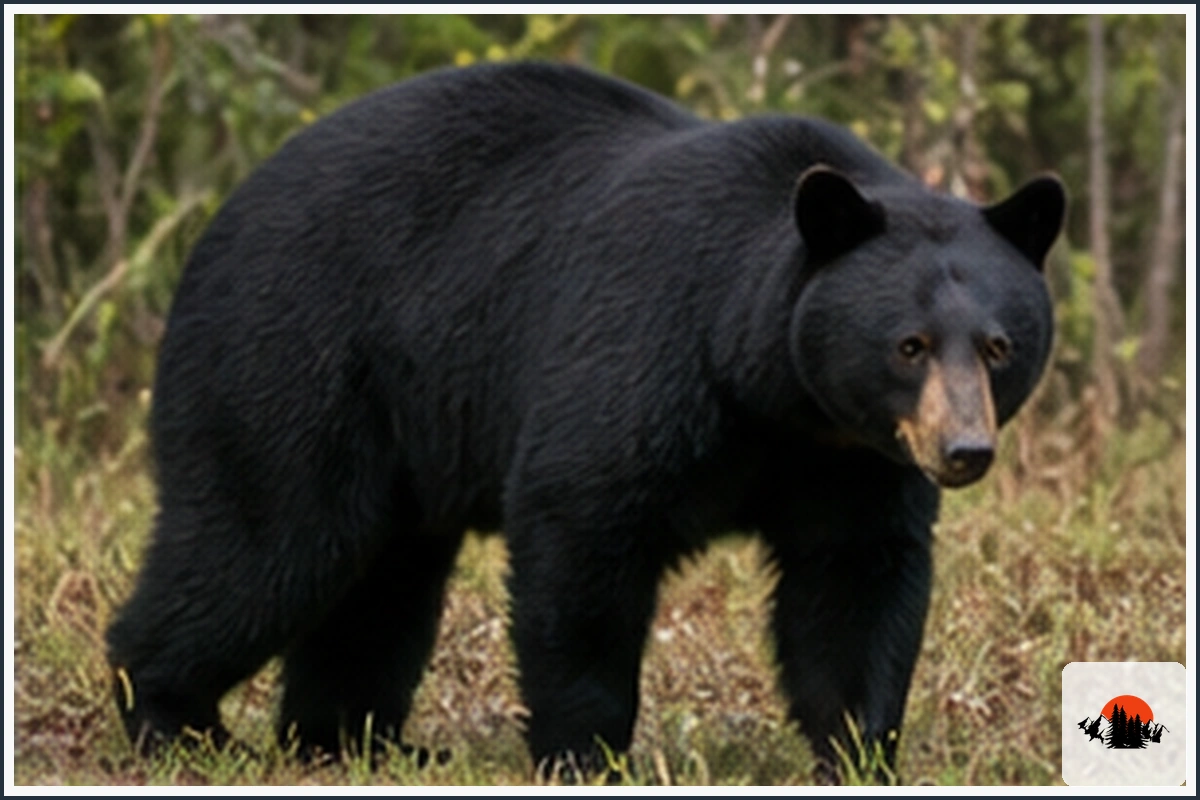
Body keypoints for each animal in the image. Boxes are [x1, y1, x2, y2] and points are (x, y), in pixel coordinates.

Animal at [106, 61, 1065, 781]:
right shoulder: (646, 353)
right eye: (908, 345)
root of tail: (222, 217)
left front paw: (858, 753)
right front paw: (589, 754)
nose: (964, 451)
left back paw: (355, 741)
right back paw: (174, 719)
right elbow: (583, 531)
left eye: (997, 345)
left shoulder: (851, 461)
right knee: (269, 544)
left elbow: (854, 583)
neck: (773, 392)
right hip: (295, 357)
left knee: (381, 579)